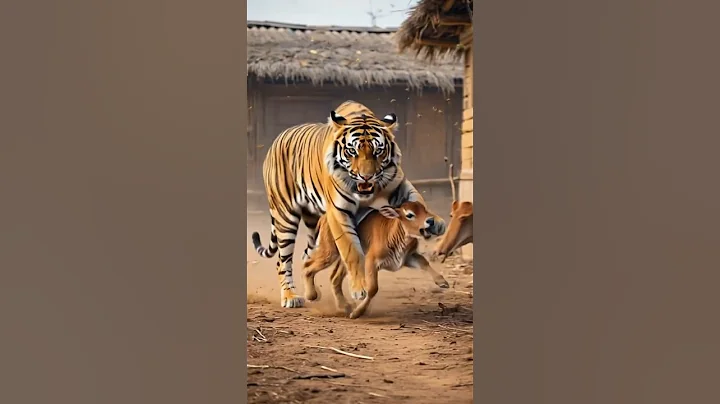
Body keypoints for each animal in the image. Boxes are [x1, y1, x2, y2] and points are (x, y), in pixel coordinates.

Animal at [251, 100, 446, 308]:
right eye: (352, 151)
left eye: (378, 151)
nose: (367, 177)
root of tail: (279, 138)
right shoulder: (339, 211)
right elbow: (352, 250)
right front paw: (359, 288)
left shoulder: (399, 185)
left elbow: (417, 199)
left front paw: (436, 223)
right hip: (286, 217)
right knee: (283, 260)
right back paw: (290, 296)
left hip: (313, 222)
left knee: (307, 256)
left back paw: (315, 293)